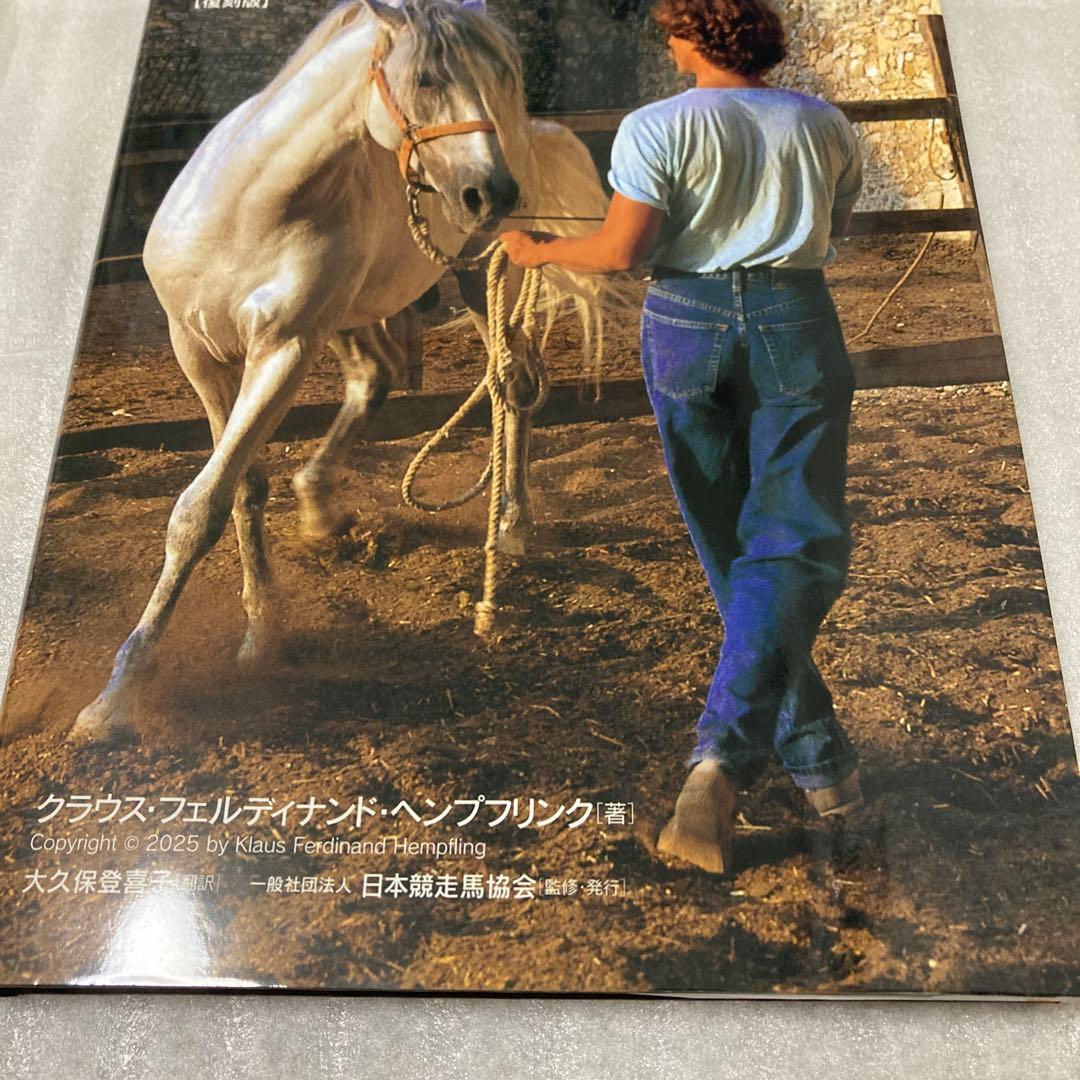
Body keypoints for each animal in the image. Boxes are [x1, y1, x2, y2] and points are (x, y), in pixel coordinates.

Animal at [72, 0, 628, 741]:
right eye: (425, 78)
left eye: (499, 78)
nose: (493, 191)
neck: (250, 212)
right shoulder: (198, 353)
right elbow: (242, 488)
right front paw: (264, 629)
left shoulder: (283, 352)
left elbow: (199, 510)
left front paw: (115, 698)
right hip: (356, 315)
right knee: (378, 379)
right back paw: (320, 506)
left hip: (479, 278)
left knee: (512, 383)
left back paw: (510, 526)